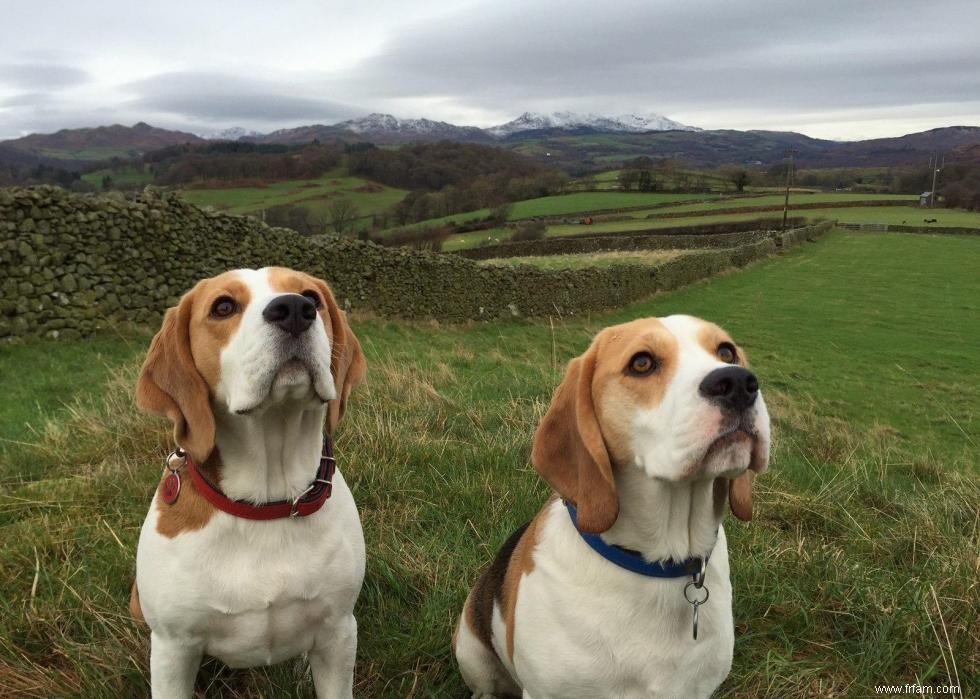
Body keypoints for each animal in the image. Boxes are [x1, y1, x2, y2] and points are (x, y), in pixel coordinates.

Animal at [126, 266, 364, 696]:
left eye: (312, 297)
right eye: (223, 307)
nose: (295, 310)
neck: (266, 504)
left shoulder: (339, 632)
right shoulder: (173, 649)